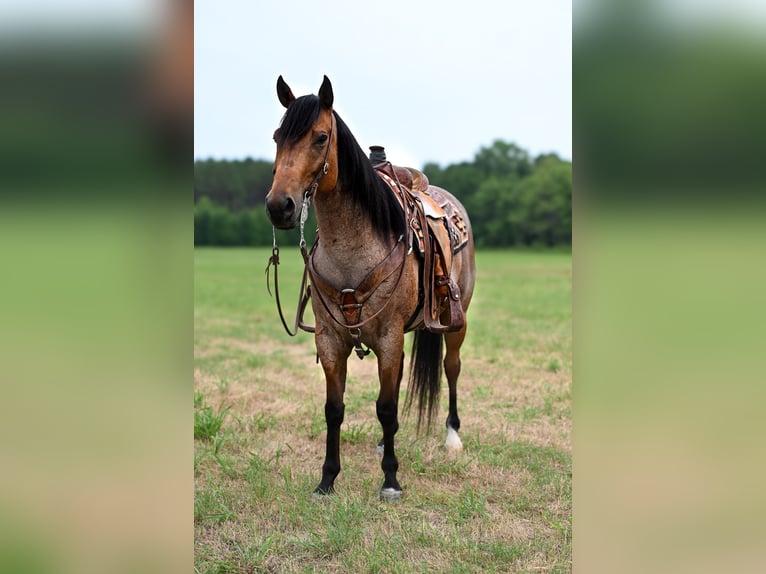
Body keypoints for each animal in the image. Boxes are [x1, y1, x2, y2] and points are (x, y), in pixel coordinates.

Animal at [268, 77, 476, 504]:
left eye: (321, 137)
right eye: (278, 137)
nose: (279, 206)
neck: (353, 249)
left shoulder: (389, 338)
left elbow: (386, 408)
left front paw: (391, 480)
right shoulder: (331, 341)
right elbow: (335, 409)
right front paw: (327, 480)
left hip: (455, 323)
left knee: (451, 368)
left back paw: (452, 436)